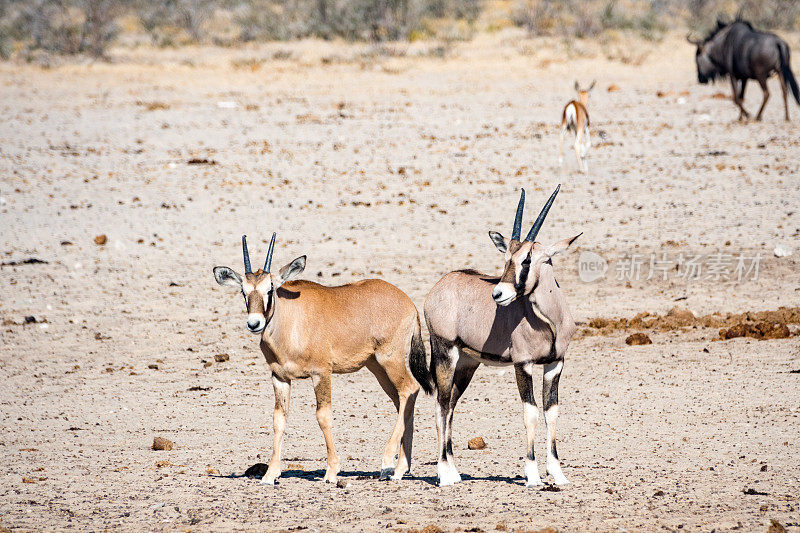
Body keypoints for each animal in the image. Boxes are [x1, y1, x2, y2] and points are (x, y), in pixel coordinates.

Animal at [212, 235, 424, 484]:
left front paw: (331, 471)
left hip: (390, 359)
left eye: (270, 289)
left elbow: (323, 416)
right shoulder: (279, 377)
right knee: (402, 400)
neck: (291, 322)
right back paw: (401, 468)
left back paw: (388, 463)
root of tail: (409, 304)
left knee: (409, 389)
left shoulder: (321, 373)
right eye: (244, 291)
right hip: (377, 367)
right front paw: (270, 473)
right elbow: (278, 419)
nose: (254, 323)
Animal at [416, 186, 580, 486]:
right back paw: (444, 474)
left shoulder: (555, 364)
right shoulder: (523, 364)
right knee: (441, 405)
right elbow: (531, 413)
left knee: (451, 406)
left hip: (467, 363)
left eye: (527, 260)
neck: (549, 320)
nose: (498, 294)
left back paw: (454, 472)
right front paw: (532, 475)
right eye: (506, 260)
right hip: (446, 353)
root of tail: (440, 285)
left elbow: (551, 412)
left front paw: (558, 474)